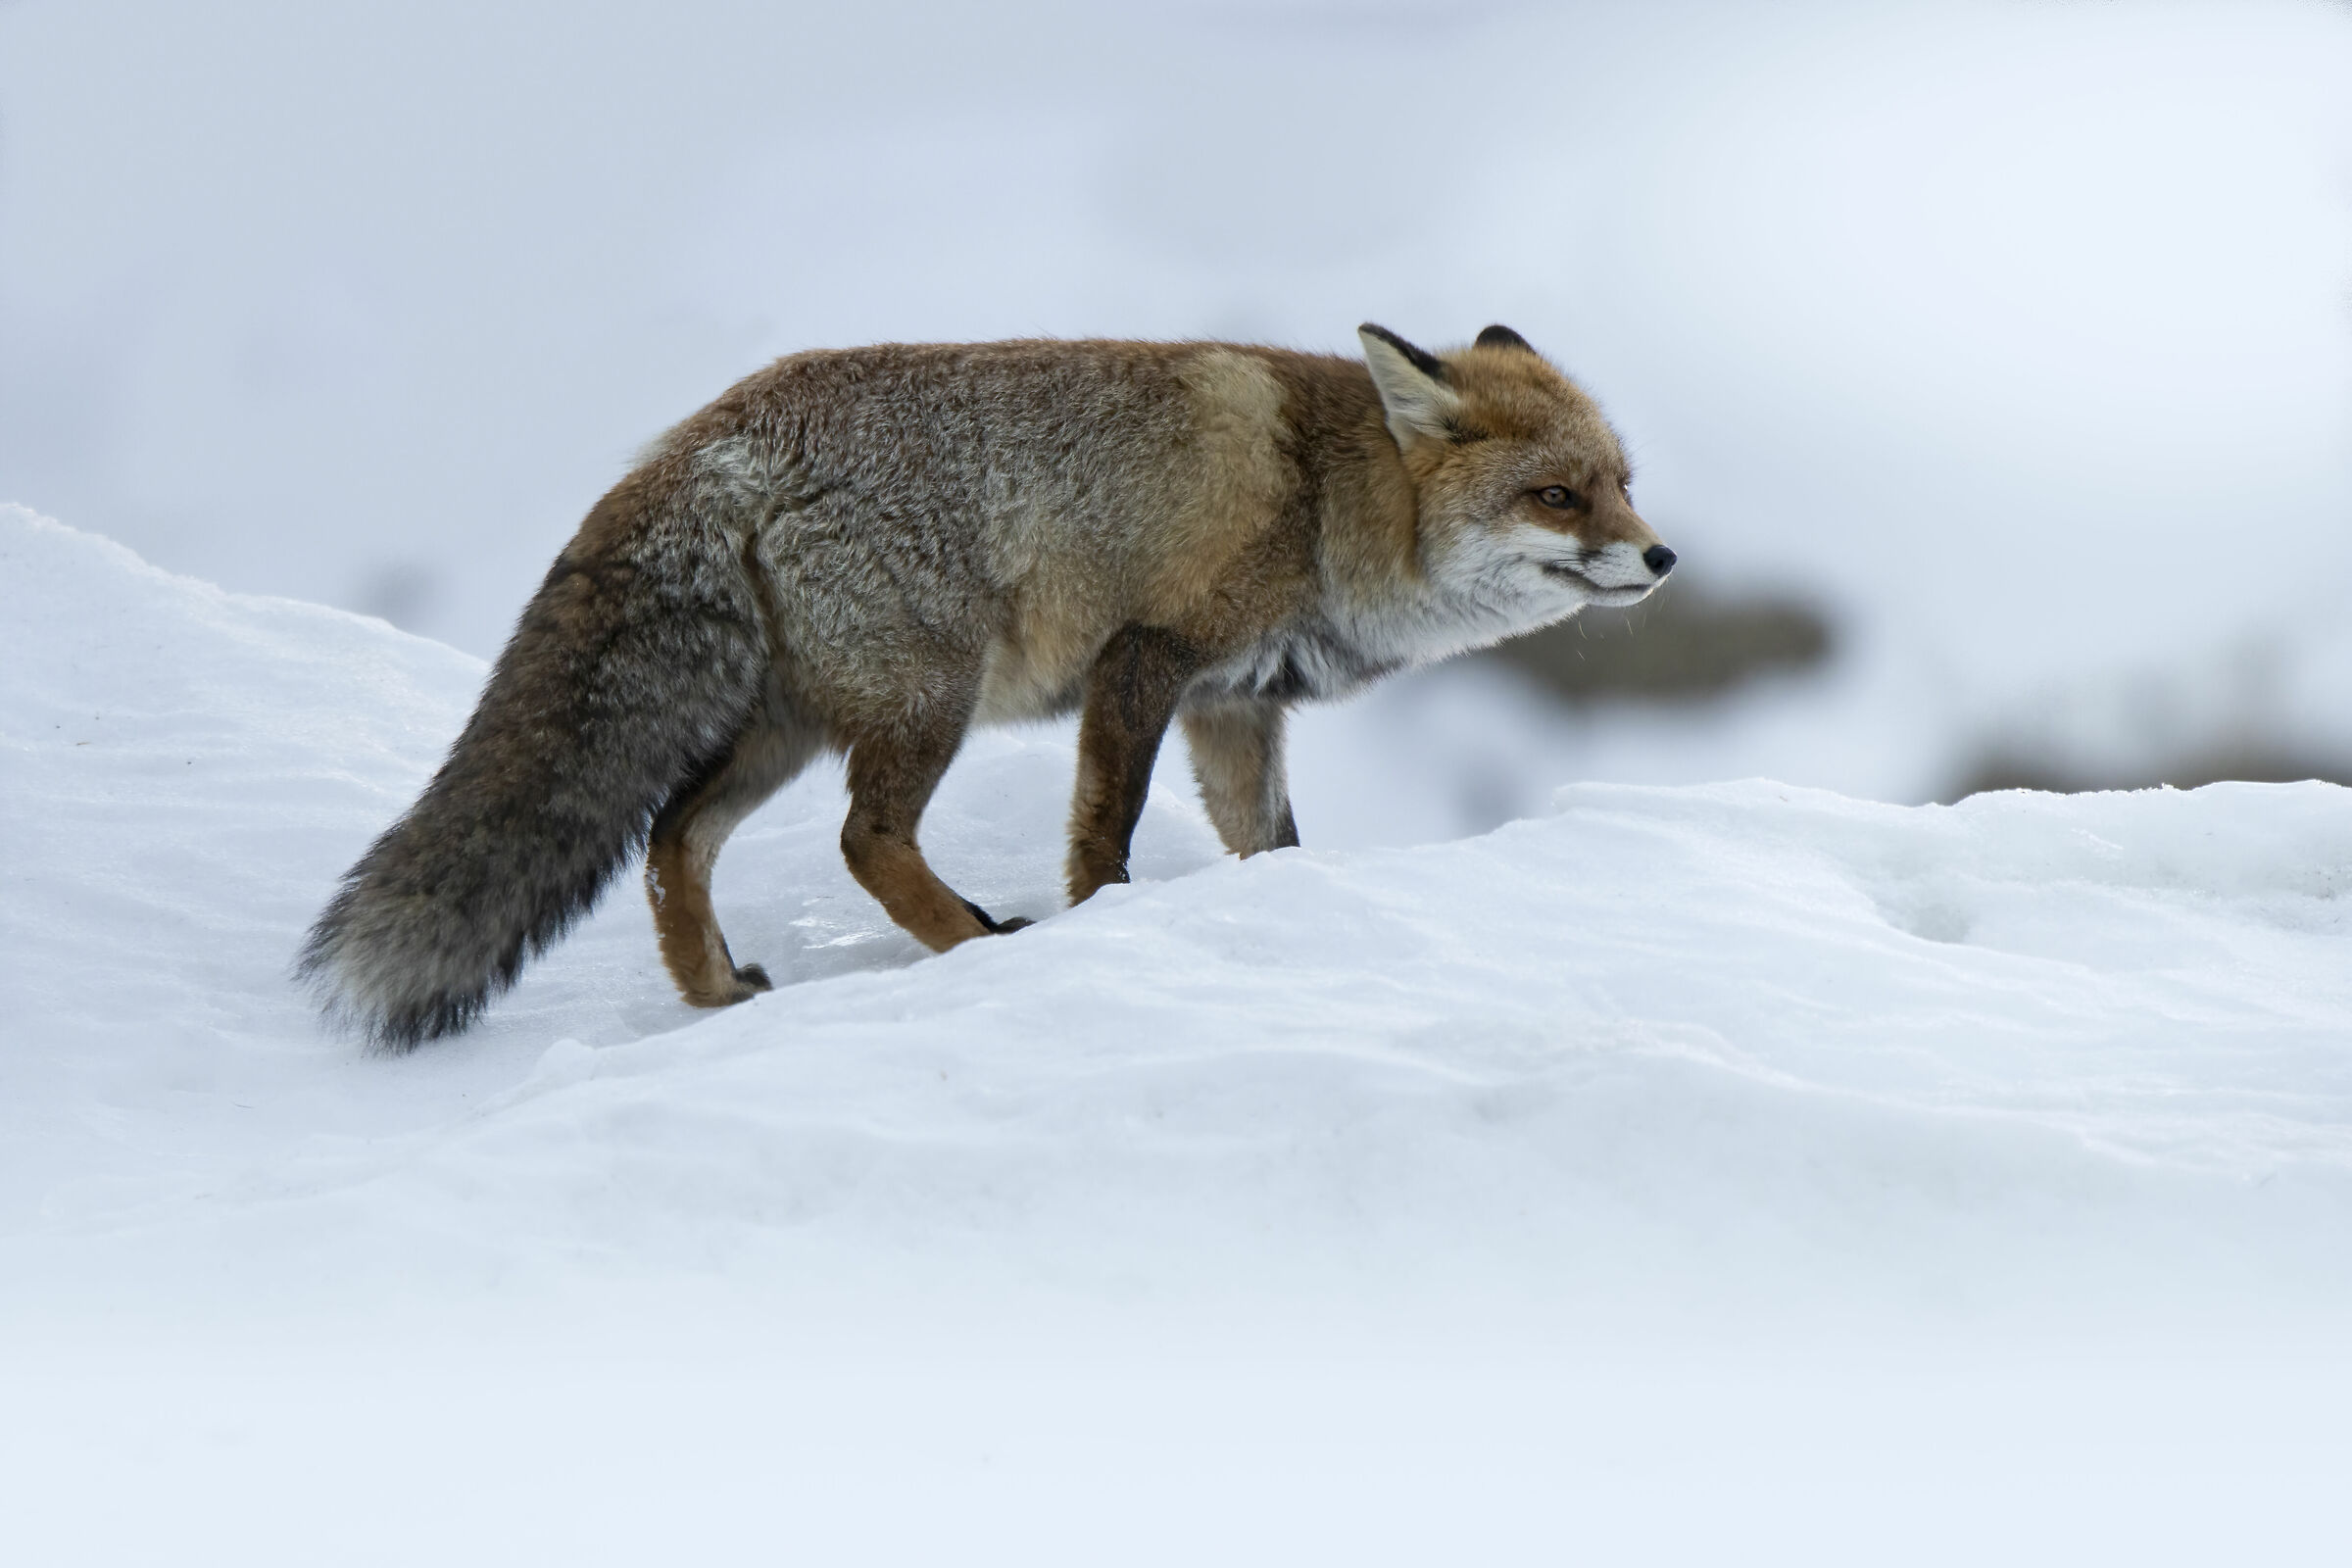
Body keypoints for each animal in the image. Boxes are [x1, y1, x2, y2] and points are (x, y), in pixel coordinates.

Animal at [299, 323, 1675, 1048]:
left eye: (1623, 480)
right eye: (1557, 494)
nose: (1663, 558)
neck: (1321, 498)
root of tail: (712, 430)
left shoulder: (1236, 706)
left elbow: (1270, 846)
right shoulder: (1147, 658)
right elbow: (1105, 836)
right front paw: (1102, 929)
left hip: (789, 725)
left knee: (671, 838)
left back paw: (716, 994)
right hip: (926, 701)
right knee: (862, 840)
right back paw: (969, 946)